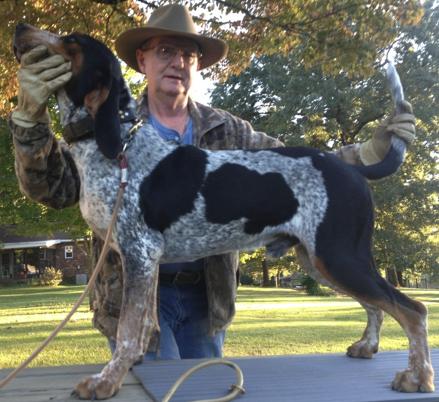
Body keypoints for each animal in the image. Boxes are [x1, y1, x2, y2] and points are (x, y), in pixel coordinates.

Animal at [14, 25, 436, 398]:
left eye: (70, 40)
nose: (19, 27)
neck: (118, 144)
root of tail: (352, 169)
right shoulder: (143, 261)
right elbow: (141, 327)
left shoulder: (140, 253)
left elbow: (129, 331)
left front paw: (106, 382)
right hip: (319, 261)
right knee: (378, 306)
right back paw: (367, 347)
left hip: (338, 257)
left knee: (412, 310)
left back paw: (417, 377)